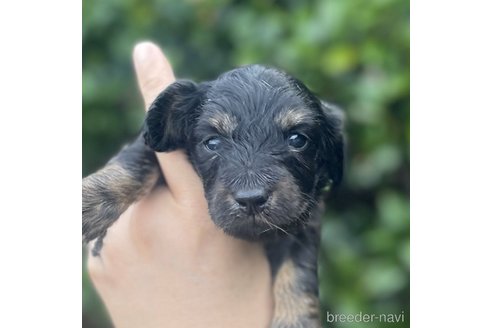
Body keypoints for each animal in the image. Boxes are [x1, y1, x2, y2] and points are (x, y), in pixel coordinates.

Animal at [82, 64, 344, 328]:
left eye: (297, 139)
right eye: (213, 142)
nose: (251, 200)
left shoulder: (304, 221)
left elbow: (298, 268)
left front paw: (295, 320)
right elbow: (135, 162)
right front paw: (88, 202)